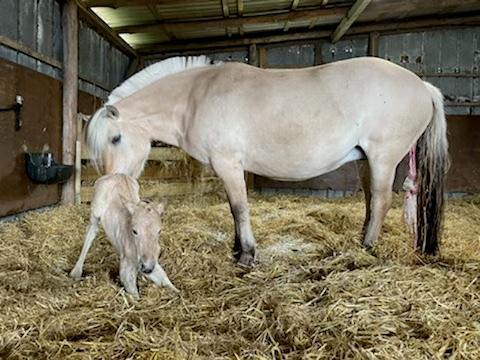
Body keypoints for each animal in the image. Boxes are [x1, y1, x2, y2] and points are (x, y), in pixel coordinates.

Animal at [86, 55, 450, 264]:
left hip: (383, 158)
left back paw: (367, 247)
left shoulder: (229, 165)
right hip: (365, 160)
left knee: (381, 201)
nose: (109, 188)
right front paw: (237, 249)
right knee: (371, 201)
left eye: (116, 138)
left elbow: (239, 208)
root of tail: (422, 85)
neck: (196, 97)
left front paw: (246, 255)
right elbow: (234, 210)